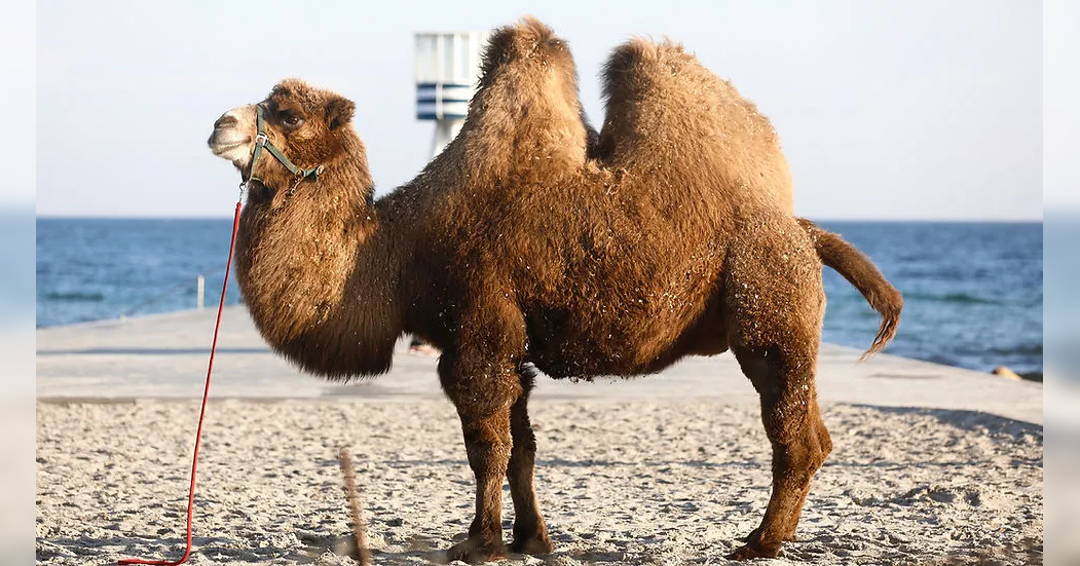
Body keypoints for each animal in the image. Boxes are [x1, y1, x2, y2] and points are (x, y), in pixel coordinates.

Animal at [206, 18, 901, 562]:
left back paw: (759, 542)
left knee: (792, 430)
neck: (396, 252)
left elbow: (487, 447)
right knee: (812, 431)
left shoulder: (477, 337)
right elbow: (524, 448)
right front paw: (531, 540)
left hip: (769, 302)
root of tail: (804, 231)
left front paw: (478, 542)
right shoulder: (511, 344)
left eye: (288, 113)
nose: (218, 124)